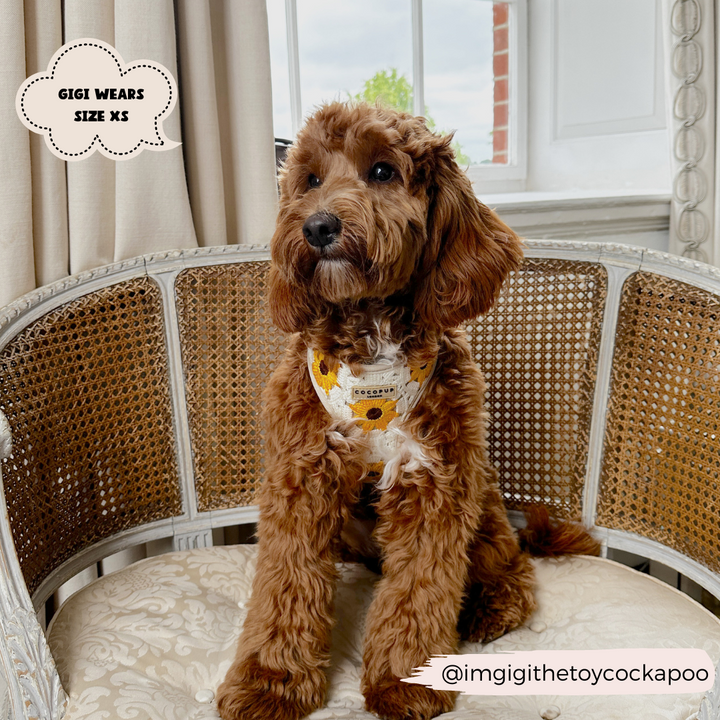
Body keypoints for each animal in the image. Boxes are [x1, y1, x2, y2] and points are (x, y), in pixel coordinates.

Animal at [217, 101, 600, 720]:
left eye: (381, 171)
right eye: (310, 179)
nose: (318, 226)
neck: (371, 343)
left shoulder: (434, 484)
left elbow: (420, 589)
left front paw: (406, 682)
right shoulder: (301, 476)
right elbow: (286, 584)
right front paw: (270, 682)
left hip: (483, 507)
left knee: (511, 566)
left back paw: (488, 607)